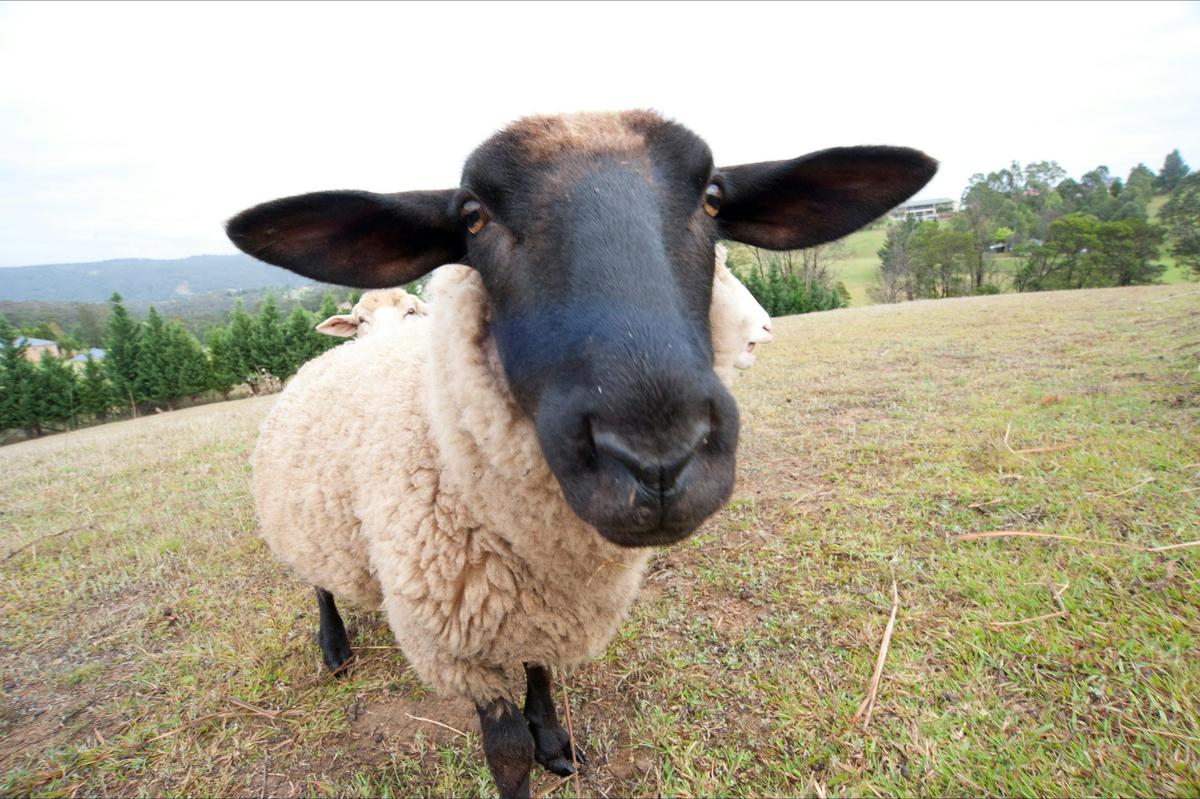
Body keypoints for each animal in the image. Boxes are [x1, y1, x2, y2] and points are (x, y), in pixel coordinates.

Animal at [226, 109, 936, 798]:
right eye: (472, 214)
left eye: (712, 199)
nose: (658, 457)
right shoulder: (462, 647)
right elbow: (507, 754)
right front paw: (528, 755)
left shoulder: (543, 604)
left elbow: (540, 674)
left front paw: (554, 741)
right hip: (302, 517)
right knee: (318, 581)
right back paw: (333, 646)